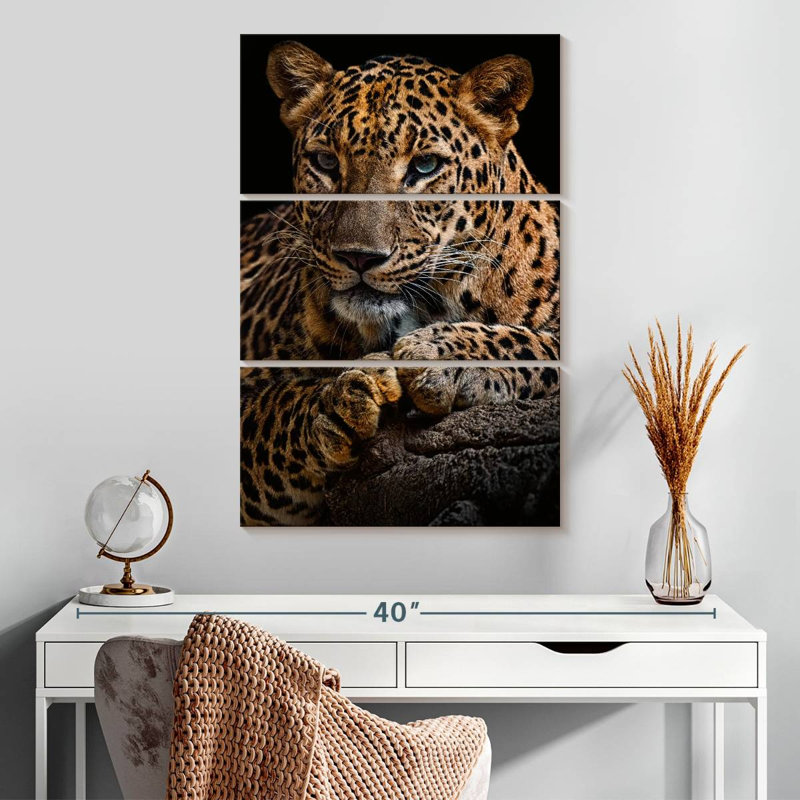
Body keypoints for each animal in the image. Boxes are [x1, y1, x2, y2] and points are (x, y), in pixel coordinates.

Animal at [240, 41, 560, 525]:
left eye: (425, 166)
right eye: (326, 162)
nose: (358, 256)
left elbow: (533, 343)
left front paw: (439, 354)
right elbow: (269, 408)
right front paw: (336, 404)